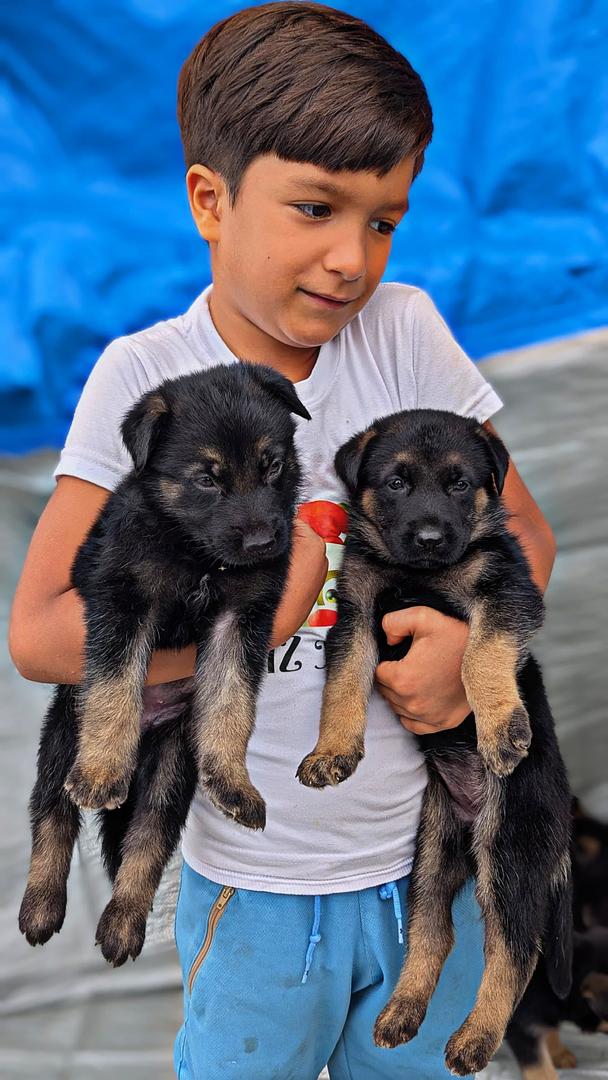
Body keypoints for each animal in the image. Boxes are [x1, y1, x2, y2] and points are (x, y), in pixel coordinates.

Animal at [19, 360, 308, 963]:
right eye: (207, 479)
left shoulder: (241, 619)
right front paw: (103, 769)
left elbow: (231, 700)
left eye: (272, 466)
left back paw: (123, 924)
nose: (264, 542)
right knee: (52, 816)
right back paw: (40, 905)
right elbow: (115, 684)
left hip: (172, 767)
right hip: (63, 733)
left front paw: (233, 781)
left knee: (147, 839)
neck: (196, 553)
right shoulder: (123, 600)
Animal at [298, 408, 574, 1075]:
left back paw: (474, 1038)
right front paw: (331, 751)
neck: (417, 574)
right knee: (432, 931)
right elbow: (341, 685)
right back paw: (401, 1011)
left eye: (458, 484)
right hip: (431, 852)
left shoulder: (501, 590)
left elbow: (481, 653)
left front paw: (502, 727)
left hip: (508, 849)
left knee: (515, 951)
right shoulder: (357, 615)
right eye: (396, 483)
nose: (428, 537)